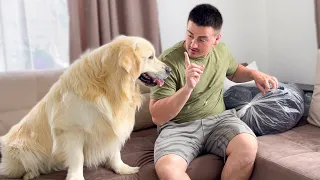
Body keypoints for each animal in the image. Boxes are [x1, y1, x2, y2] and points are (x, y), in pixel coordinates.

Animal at [0, 35, 170, 180]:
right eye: (150, 57)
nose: (168, 69)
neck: (110, 87)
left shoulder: (113, 128)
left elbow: (114, 152)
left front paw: (121, 168)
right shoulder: (71, 131)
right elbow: (77, 157)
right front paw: (75, 177)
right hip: (21, 149)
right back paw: (30, 174)